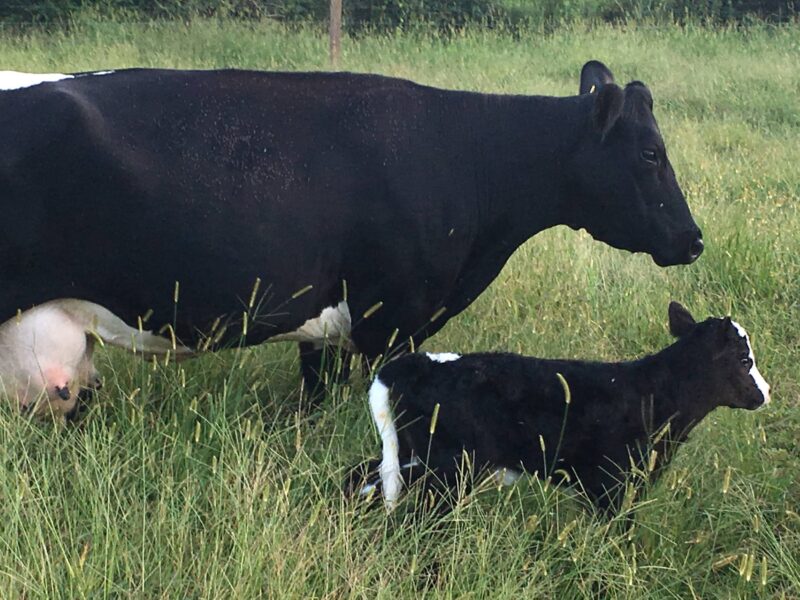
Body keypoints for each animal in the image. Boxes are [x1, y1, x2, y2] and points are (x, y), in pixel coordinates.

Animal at [345, 302, 770, 514]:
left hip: (416, 457)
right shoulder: (613, 487)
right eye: (744, 360)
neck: (653, 393)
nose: (765, 393)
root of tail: (413, 365)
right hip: (448, 469)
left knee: (363, 476)